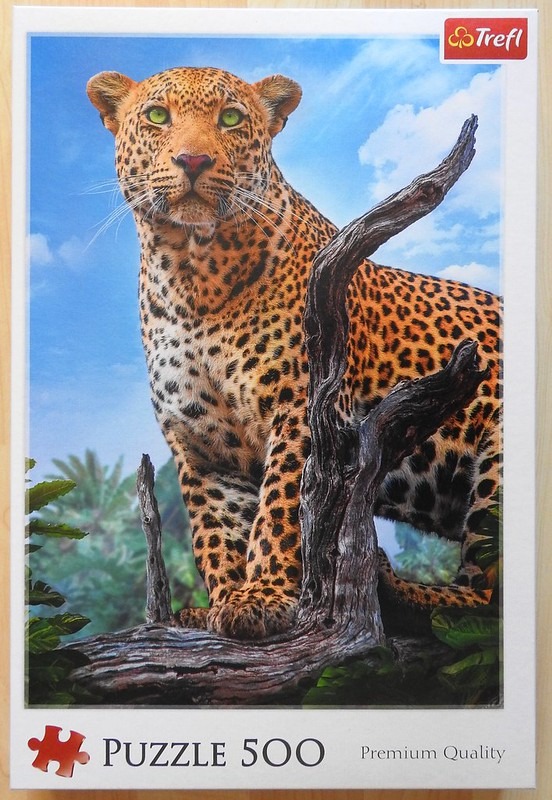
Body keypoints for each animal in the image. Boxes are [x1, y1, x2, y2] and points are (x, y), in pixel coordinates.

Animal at [87, 66, 502, 640]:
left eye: (231, 118)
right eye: (156, 116)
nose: (192, 160)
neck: (192, 275)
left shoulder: (304, 408)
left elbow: (283, 508)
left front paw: (263, 595)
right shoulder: (200, 443)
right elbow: (216, 530)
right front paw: (221, 603)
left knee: (485, 596)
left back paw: (394, 588)